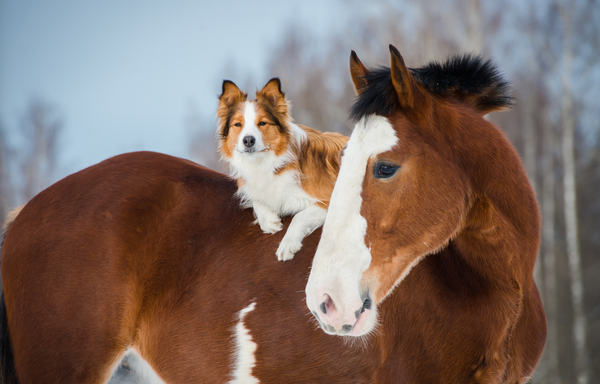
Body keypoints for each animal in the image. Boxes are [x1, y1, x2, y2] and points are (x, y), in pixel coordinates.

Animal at [217, 78, 346, 260]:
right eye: (238, 124)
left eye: (262, 123)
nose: (248, 140)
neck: (267, 163)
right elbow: (257, 198)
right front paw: (268, 220)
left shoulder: (328, 198)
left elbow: (298, 216)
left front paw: (287, 244)